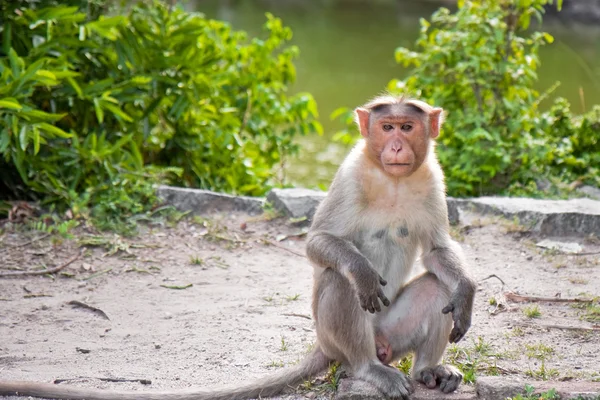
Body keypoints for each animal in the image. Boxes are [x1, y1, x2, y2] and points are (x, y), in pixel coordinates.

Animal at [1, 94, 478, 400]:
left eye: (408, 126)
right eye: (386, 127)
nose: (396, 145)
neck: (392, 178)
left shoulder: (432, 179)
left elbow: (437, 251)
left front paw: (467, 293)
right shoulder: (350, 173)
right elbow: (318, 243)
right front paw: (359, 270)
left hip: (392, 334)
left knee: (436, 286)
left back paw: (427, 370)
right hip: (338, 337)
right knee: (337, 282)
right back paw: (368, 368)